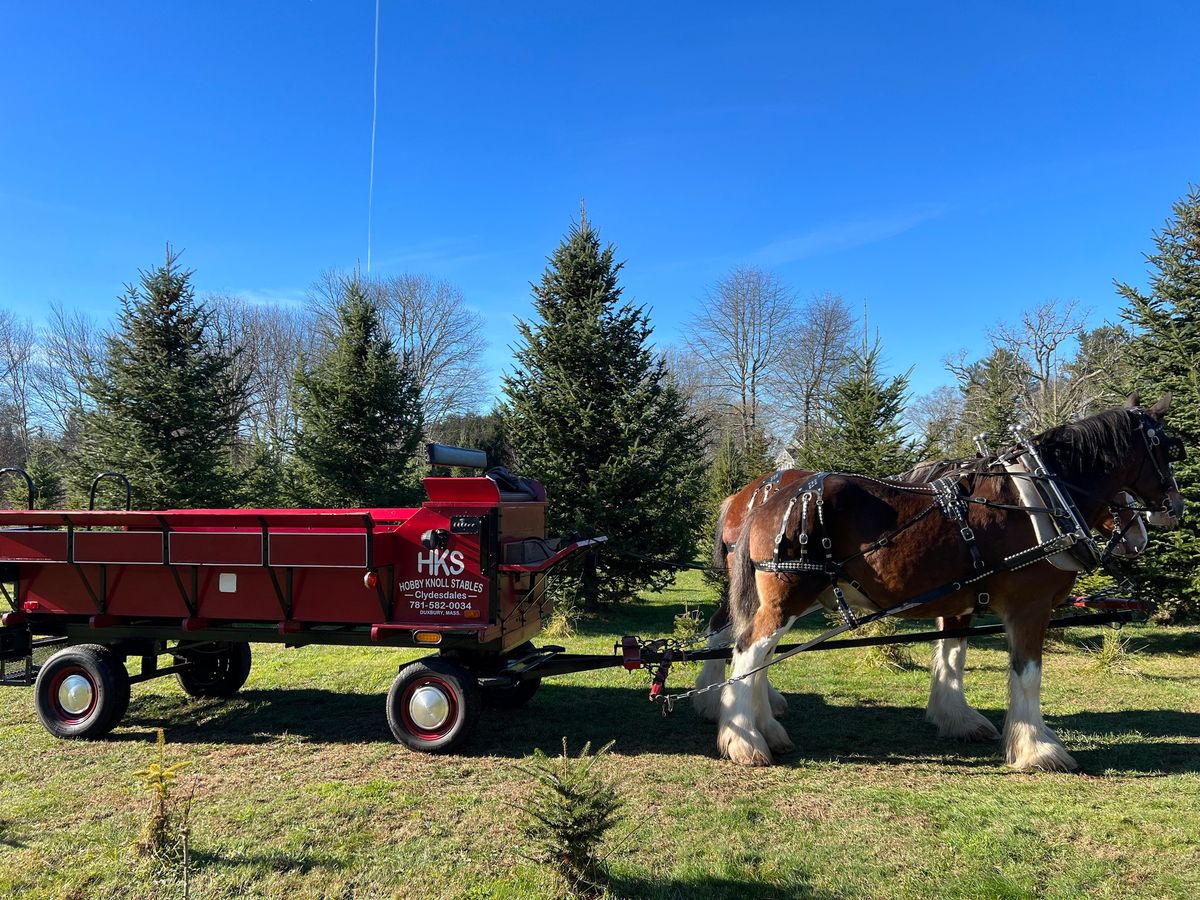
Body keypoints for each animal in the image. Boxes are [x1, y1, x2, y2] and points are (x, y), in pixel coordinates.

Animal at [710, 398, 1180, 772]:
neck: (1040, 497)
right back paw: (743, 740)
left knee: (752, 648)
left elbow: (953, 659)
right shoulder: (1031, 604)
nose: (1172, 509)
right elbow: (1028, 674)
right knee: (748, 649)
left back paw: (764, 728)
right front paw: (1038, 749)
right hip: (787, 597)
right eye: (1167, 449)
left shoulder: (959, 600)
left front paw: (958, 719)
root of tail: (764, 498)